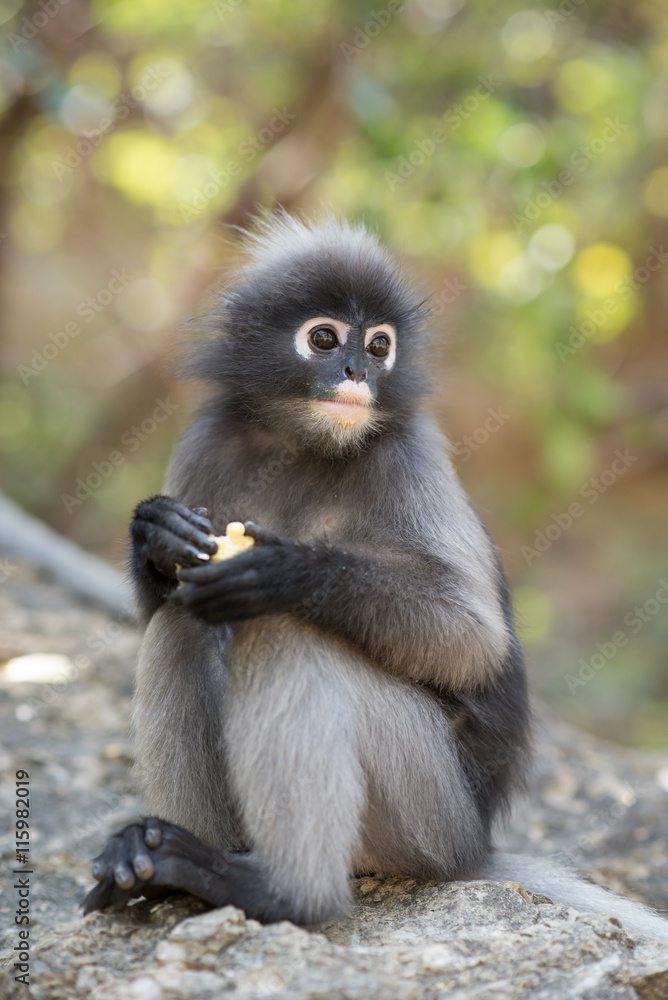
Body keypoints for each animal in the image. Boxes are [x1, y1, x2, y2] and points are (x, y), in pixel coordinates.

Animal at [83, 215, 668, 940]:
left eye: (380, 345)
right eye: (324, 338)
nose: (357, 371)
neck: (305, 444)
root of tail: (476, 848)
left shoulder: (409, 452)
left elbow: (472, 639)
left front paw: (287, 569)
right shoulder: (208, 440)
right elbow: (156, 603)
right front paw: (157, 536)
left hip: (428, 813)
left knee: (283, 632)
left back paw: (282, 892)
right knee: (182, 620)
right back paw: (165, 865)